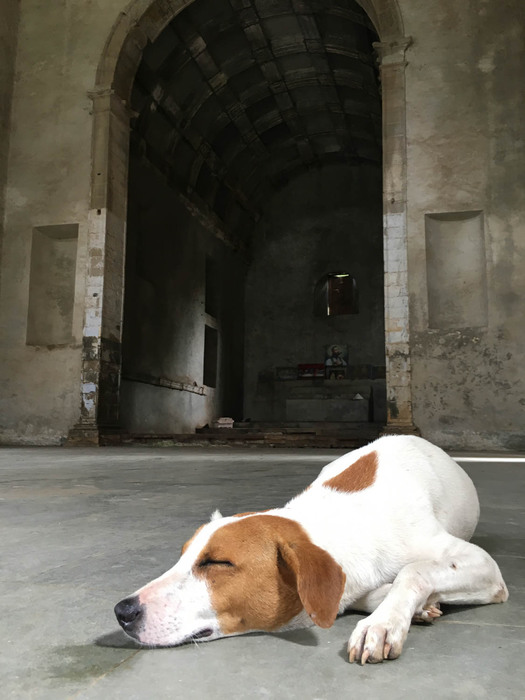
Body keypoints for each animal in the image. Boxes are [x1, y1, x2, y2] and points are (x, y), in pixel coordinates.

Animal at [114, 435, 508, 664]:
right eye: (181, 556)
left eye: (217, 562)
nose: (122, 611)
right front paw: (411, 606)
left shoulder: (484, 567)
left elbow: (414, 570)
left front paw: (382, 624)